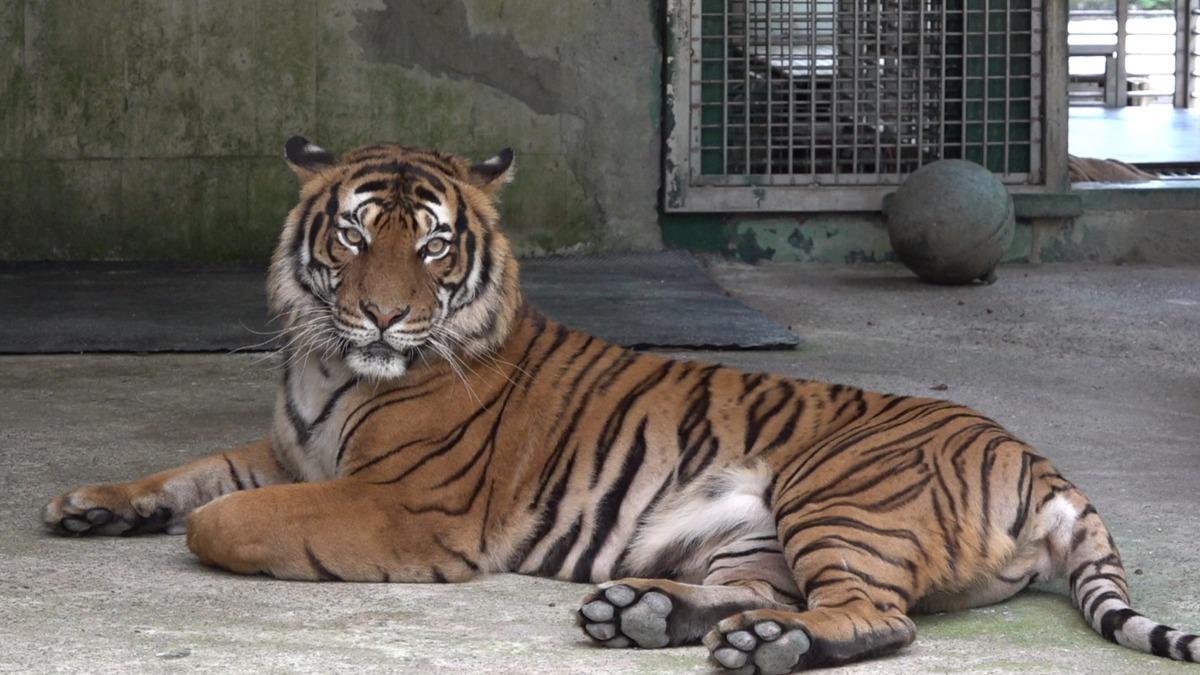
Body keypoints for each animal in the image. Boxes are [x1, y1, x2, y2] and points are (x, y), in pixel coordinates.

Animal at [42, 136, 1200, 673]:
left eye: (434, 245)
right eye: (354, 234)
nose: (380, 315)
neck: (332, 365)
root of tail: (1047, 466)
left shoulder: (409, 506)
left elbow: (223, 517)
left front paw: (185, 525)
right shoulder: (293, 451)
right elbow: (191, 469)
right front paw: (86, 503)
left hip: (837, 492)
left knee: (883, 617)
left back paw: (753, 645)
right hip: (750, 541)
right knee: (766, 596)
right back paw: (640, 611)